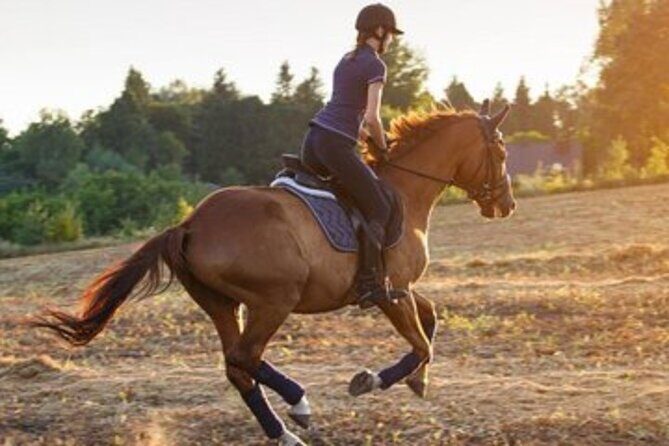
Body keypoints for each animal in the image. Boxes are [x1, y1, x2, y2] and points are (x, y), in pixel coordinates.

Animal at [31, 100, 515, 445]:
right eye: (501, 150)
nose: (506, 204)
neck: (405, 191)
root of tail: (188, 225)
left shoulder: (402, 290)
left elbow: (430, 323)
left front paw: (416, 381)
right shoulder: (390, 291)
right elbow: (421, 344)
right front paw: (372, 380)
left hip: (223, 304)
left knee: (236, 365)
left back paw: (281, 432)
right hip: (274, 300)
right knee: (245, 357)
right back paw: (298, 404)